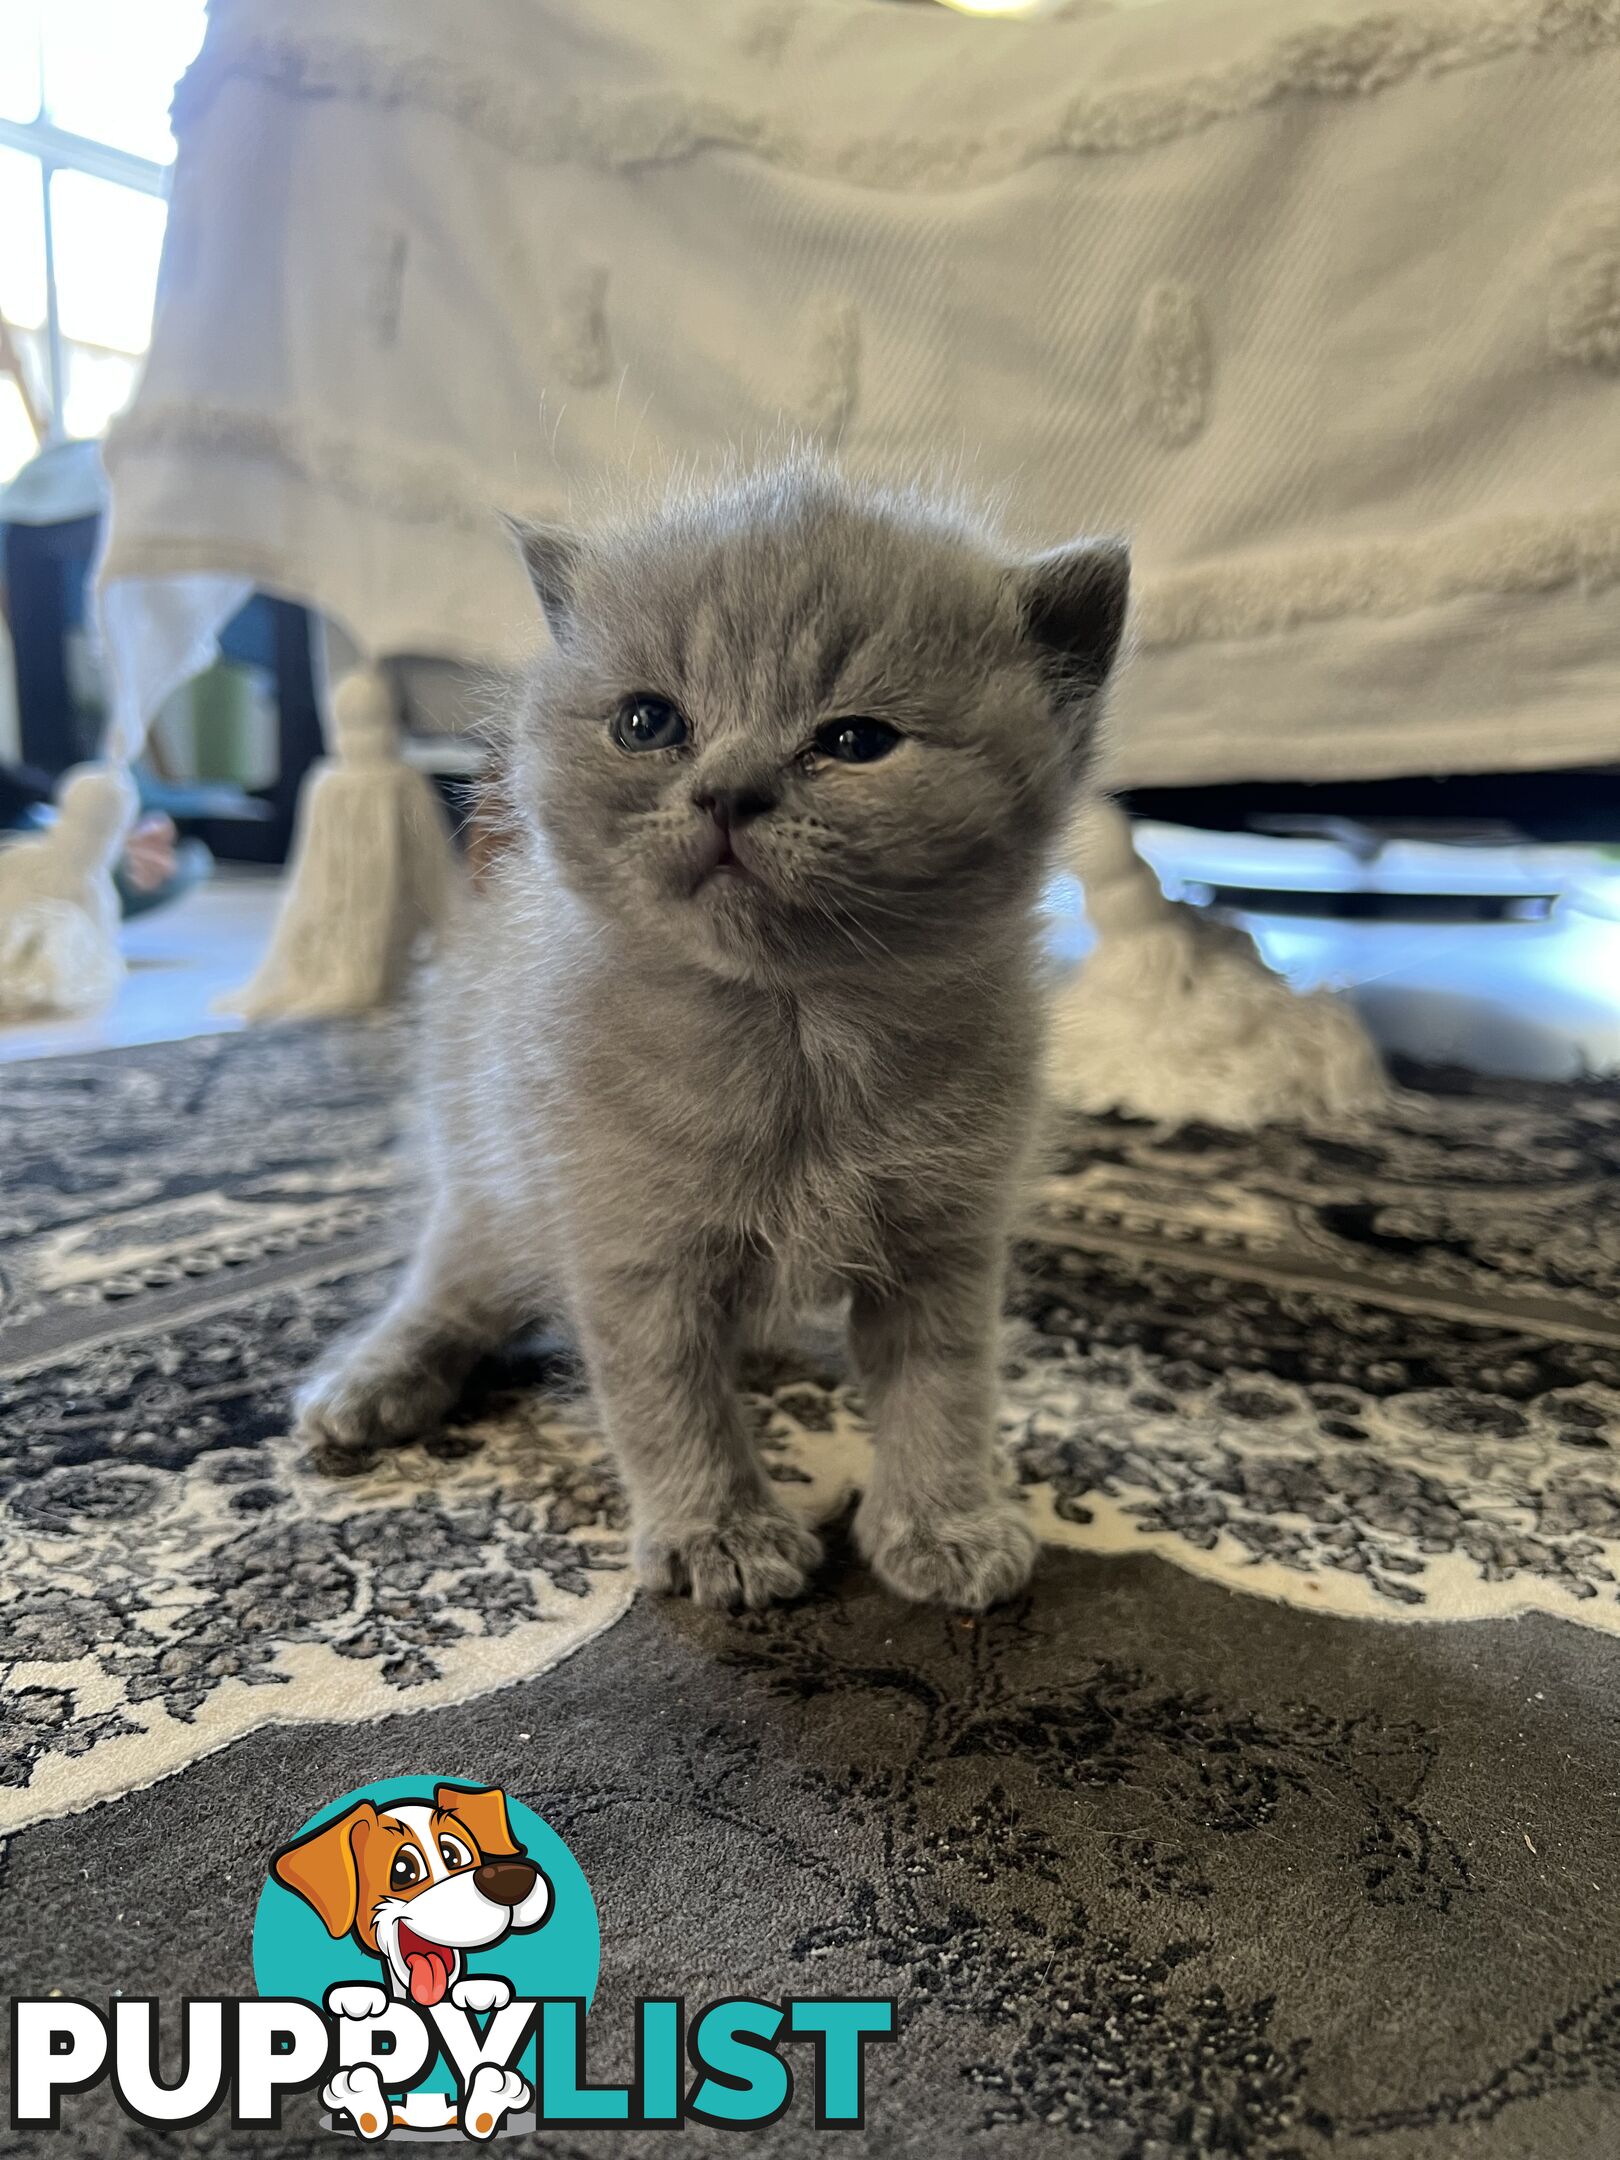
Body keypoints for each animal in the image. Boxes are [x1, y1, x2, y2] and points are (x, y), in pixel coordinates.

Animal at [295, 460, 1131, 1607]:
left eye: (856, 741)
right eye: (649, 723)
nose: (729, 791)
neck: (797, 1034)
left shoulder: (946, 1243)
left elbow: (945, 1393)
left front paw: (944, 1526)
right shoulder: (629, 1243)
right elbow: (666, 1403)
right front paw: (719, 1536)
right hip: (494, 1178)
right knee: (449, 1281)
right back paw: (371, 1383)